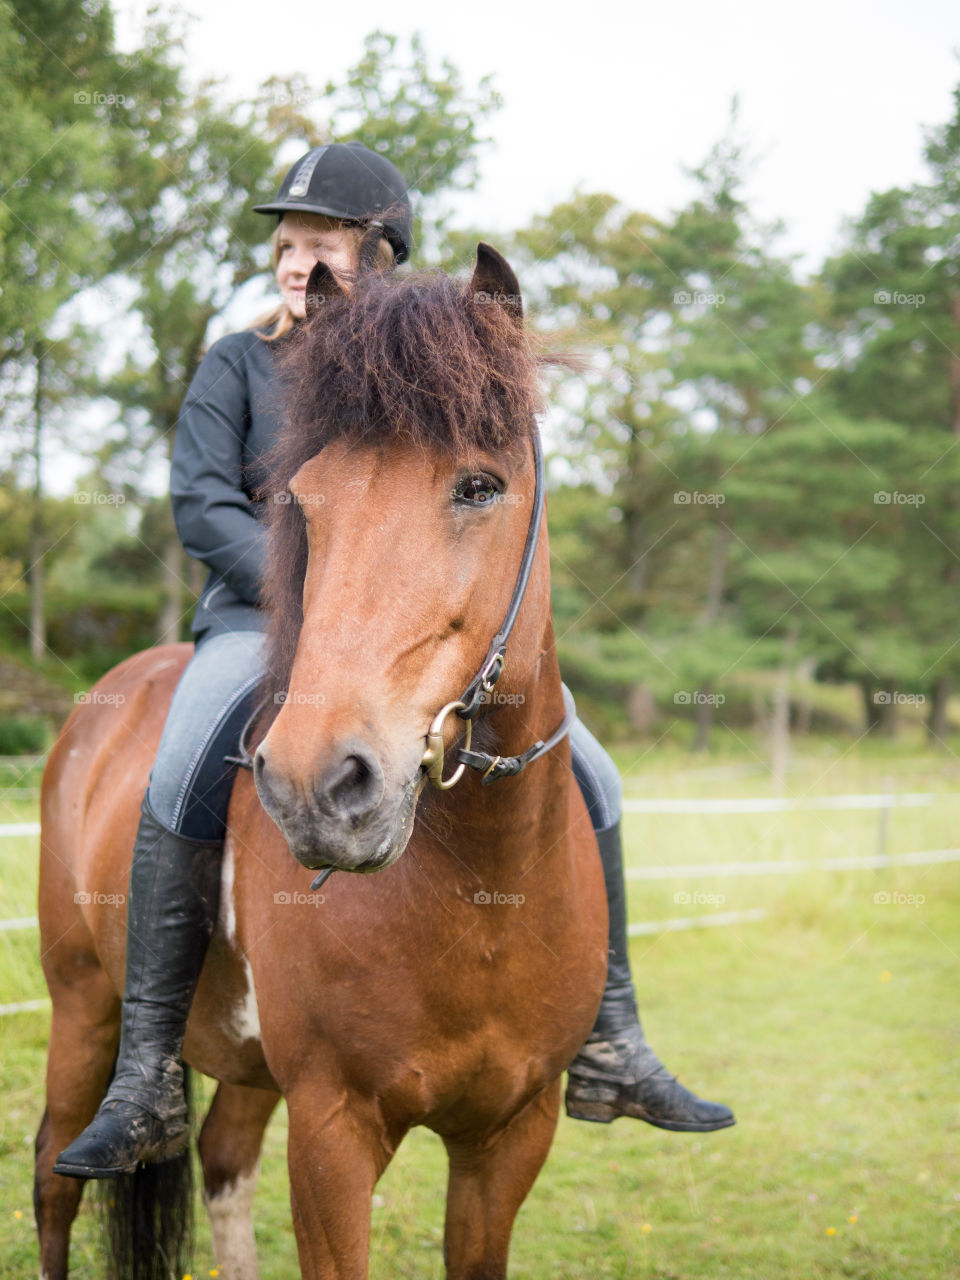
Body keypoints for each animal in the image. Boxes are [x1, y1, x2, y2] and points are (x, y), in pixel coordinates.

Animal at [37, 247, 609, 1280]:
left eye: (479, 487)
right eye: (303, 501)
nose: (316, 785)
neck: (482, 891)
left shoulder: (510, 1139)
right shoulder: (333, 1132)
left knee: (223, 1160)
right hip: (83, 1009)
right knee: (53, 1176)